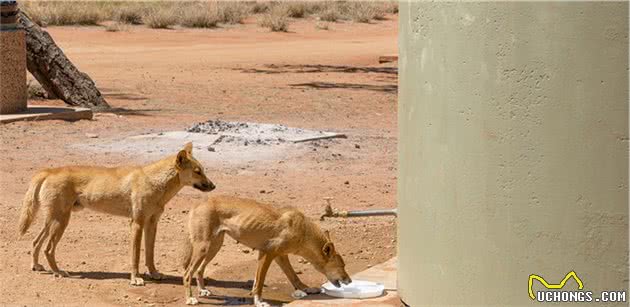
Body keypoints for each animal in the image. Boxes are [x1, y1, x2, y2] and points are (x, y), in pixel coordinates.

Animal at [17, 143, 215, 288]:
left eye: (203, 170)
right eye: (197, 171)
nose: (213, 186)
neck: (155, 182)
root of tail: (49, 171)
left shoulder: (152, 223)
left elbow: (150, 253)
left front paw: (153, 273)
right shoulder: (137, 223)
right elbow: (135, 255)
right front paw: (135, 279)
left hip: (52, 220)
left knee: (35, 242)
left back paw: (37, 266)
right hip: (61, 221)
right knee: (48, 248)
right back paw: (58, 272)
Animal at [183, 196, 354, 306]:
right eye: (342, 266)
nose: (350, 280)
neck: (303, 232)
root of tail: (198, 203)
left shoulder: (279, 255)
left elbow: (293, 276)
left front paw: (306, 288)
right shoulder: (268, 253)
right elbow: (260, 282)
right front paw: (259, 301)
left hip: (214, 247)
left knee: (199, 270)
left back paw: (203, 290)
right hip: (204, 247)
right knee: (187, 273)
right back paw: (190, 299)